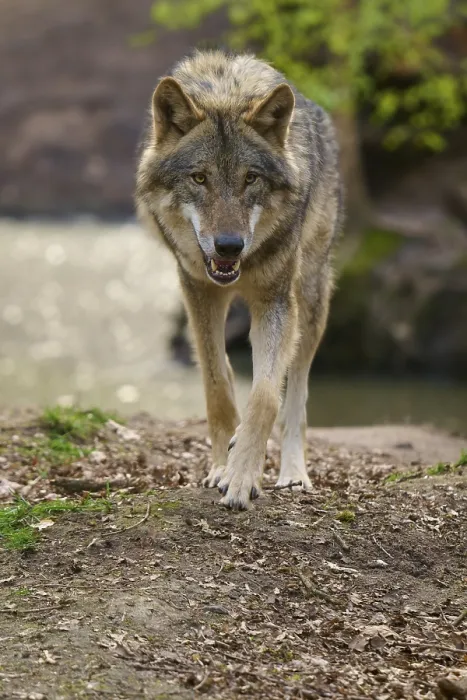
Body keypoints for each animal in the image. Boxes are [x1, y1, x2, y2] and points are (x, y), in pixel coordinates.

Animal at [135, 50, 343, 511]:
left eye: (251, 178)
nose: (229, 246)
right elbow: (216, 384)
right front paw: (220, 467)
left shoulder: (276, 301)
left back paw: (293, 473)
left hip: (312, 297)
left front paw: (242, 475)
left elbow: (266, 395)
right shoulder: (197, 291)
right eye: (199, 177)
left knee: (297, 392)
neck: (224, 94)